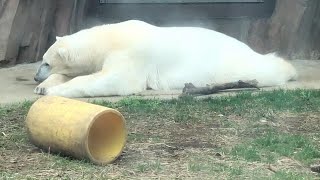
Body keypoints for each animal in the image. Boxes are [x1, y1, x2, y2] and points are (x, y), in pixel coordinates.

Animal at [33, 19, 298, 97]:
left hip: (232, 63)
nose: (35, 77)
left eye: (46, 62)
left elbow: (114, 80)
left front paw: (50, 91)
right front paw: (44, 86)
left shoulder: (132, 56)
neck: (109, 38)